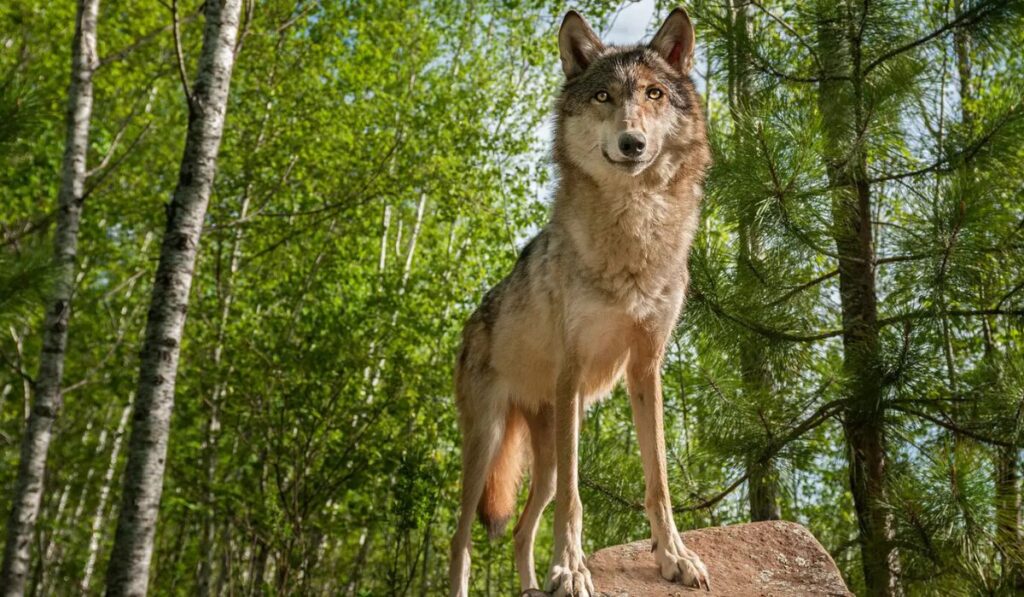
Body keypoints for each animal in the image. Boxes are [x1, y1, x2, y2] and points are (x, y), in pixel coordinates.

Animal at [448, 8, 711, 597]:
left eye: (654, 93)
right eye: (603, 97)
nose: (632, 143)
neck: (633, 236)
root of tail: (471, 323)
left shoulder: (646, 368)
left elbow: (658, 481)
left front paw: (675, 557)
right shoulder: (572, 375)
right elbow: (576, 499)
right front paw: (570, 570)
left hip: (542, 460)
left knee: (521, 530)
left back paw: (530, 587)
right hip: (489, 445)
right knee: (462, 542)